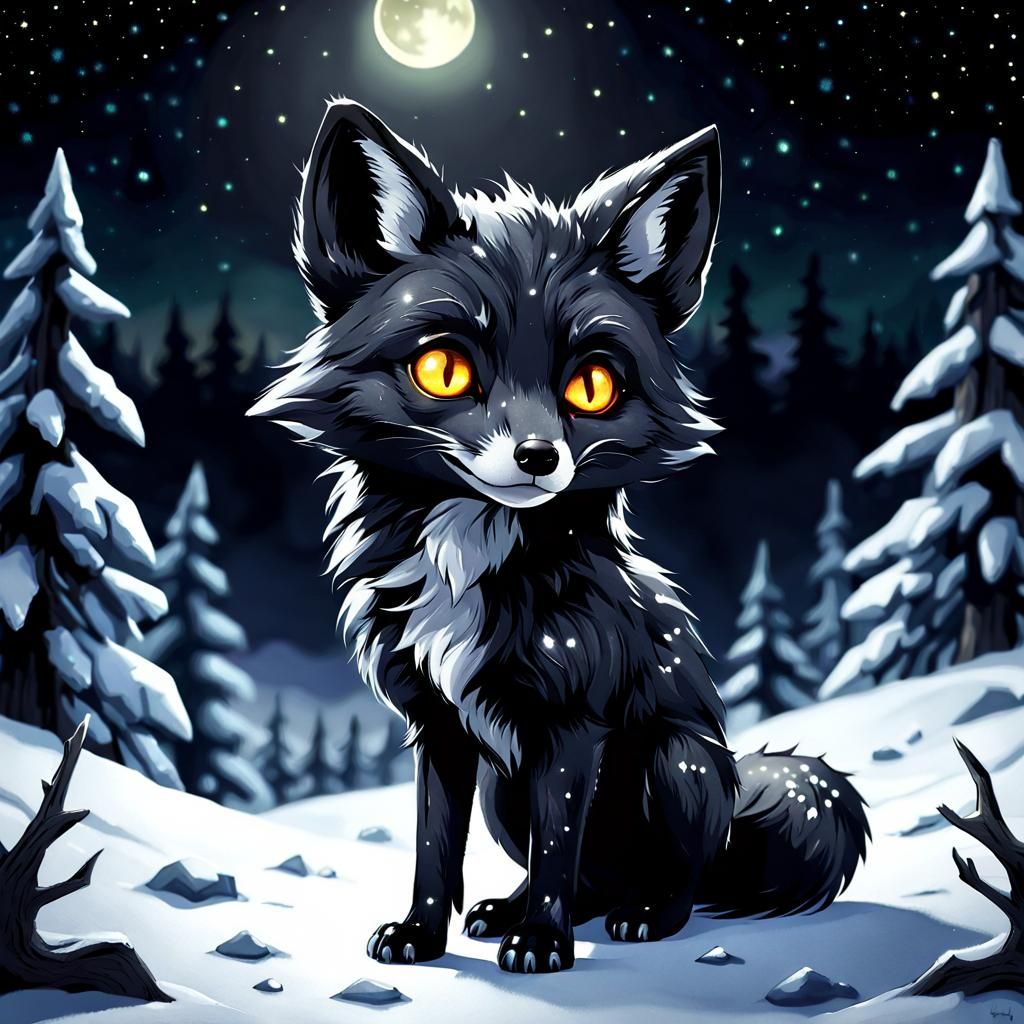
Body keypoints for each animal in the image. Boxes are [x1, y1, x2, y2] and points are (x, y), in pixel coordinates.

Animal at [251, 98, 871, 975]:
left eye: (592, 385)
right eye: (444, 371)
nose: (539, 457)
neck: (472, 560)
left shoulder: (574, 726)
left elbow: (557, 846)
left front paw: (541, 943)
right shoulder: (440, 728)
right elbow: (434, 846)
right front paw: (421, 934)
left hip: (673, 765)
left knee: (666, 878)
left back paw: (638, 915)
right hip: (505, 790)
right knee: (588, 879)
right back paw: (509, 911)